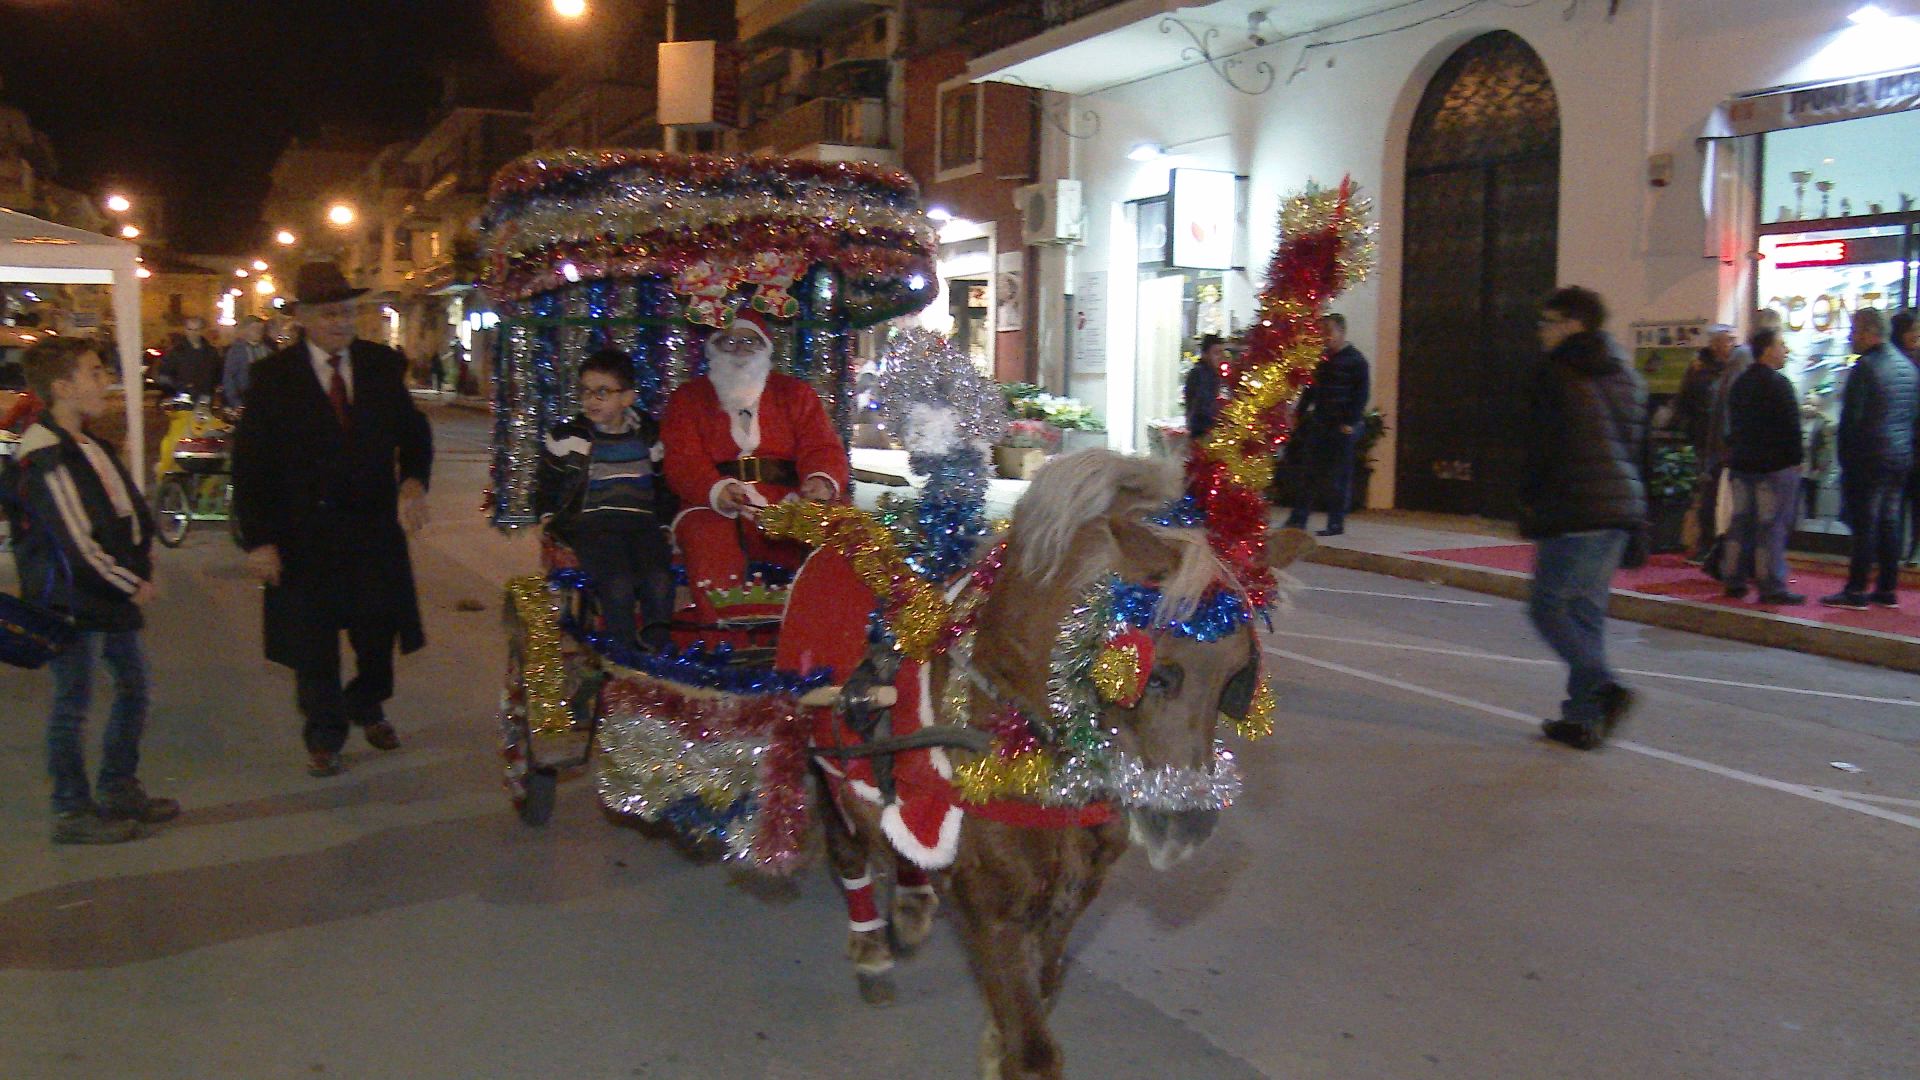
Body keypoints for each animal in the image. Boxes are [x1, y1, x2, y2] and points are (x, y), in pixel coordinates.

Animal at [810, 447, 1320, 1076]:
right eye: (1160, 671)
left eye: (1237, 676)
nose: (1187, 825)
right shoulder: (991, 912)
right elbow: (1032, 1050)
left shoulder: (1070, 901)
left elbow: (1040, 996)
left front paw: (993, 1043)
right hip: (823, 770)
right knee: (846, 848)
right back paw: (871, 947)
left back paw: (909, 901)